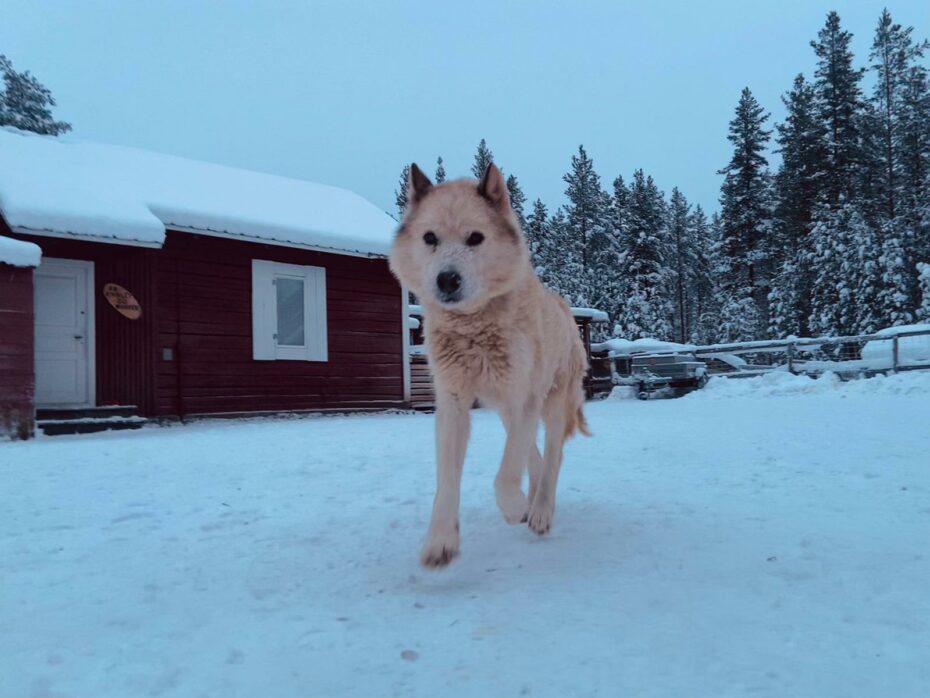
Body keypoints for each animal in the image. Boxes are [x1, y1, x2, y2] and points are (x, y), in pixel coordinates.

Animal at [390, 163, 592, 564]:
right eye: (430, 238)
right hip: (504, 409)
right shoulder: (453, 404)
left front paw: (513, 507)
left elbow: (506, 474)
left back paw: (539, 509)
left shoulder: (525, 398)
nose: (447, 279)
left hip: (552, 401)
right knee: (534, 453)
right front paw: (441, 540)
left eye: (475, 238)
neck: (474, 328)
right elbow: (447, 481)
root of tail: (564, 306)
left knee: (552, 456)